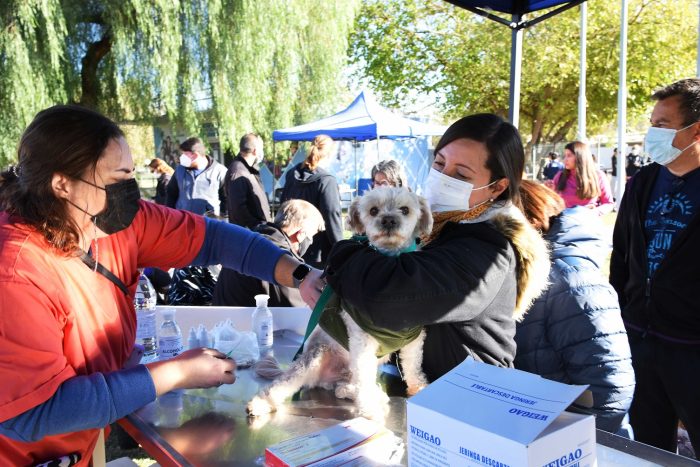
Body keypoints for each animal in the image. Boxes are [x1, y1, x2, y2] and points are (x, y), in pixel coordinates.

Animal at [246, 186, 432, 420]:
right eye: (373, 210)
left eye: (405, 209)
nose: (389, 220)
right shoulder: (362, 341)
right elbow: (365, 375)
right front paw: (369, 410)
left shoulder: (414, 338)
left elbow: (413, 365)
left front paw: (419, 388)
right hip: (316, 356)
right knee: (286, 382)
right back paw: (259, 403)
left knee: (348, 385)